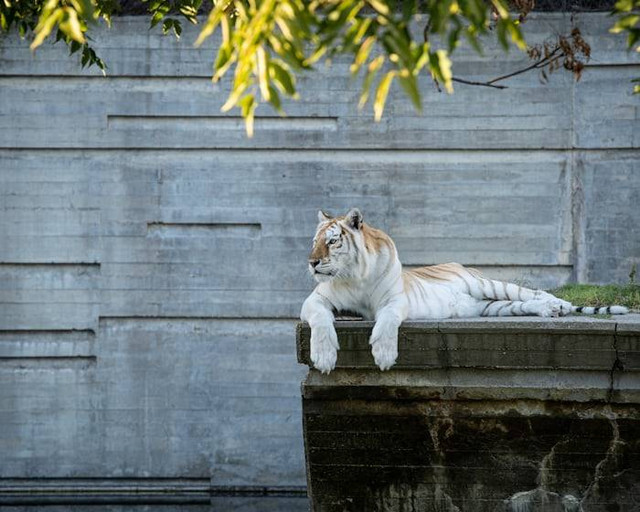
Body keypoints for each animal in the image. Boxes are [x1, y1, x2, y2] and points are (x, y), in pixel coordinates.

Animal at [302, 207, 632, 372]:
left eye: (332, 241)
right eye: (314, 242)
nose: (312, 262)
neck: (354, 275)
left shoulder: (394, 300)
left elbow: (386, 322)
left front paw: (383, 355)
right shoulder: (315, 301)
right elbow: (321, 321)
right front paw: (324, 357)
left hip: (490, 285)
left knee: (534, 293)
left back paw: (559, 304)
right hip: (491, 306)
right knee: (527, 304)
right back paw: (550, 311)